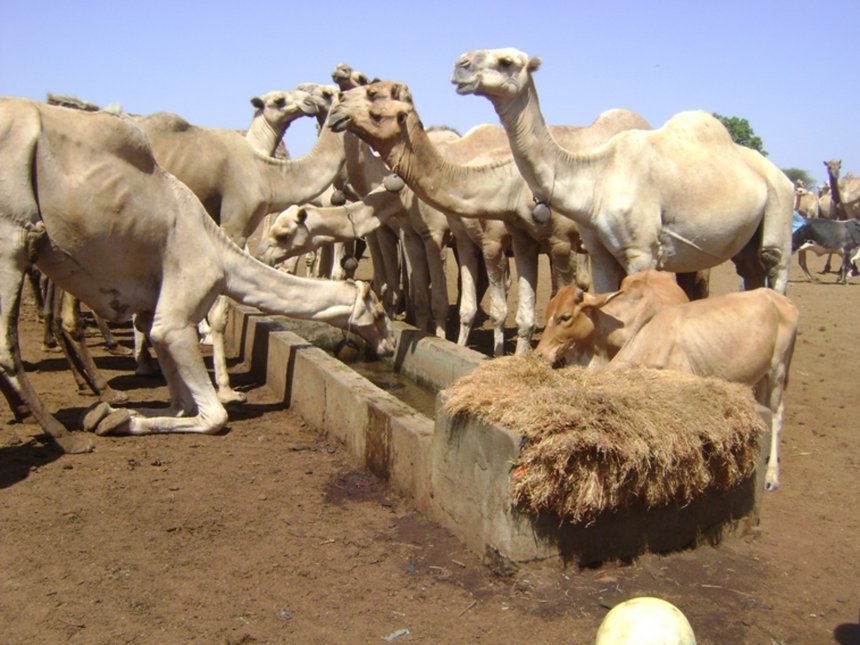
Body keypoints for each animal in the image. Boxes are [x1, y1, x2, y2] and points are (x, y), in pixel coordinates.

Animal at [0, 97, 393, 451]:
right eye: (379, 312)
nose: (388, 346)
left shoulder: (156, 313)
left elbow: (178, 403)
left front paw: (112, 413)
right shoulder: (177, 313)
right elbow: (214, 414)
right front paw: (224, 393)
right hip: (13, 236)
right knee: (9, 346)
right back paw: (64, 435)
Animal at [450, 48, 794, 295]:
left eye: (506, 61)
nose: (460, 65)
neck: (597, 174)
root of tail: (782, 175)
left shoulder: (642, 253)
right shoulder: (600, 252)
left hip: (780, 202)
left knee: (774, 264)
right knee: (750, 271)